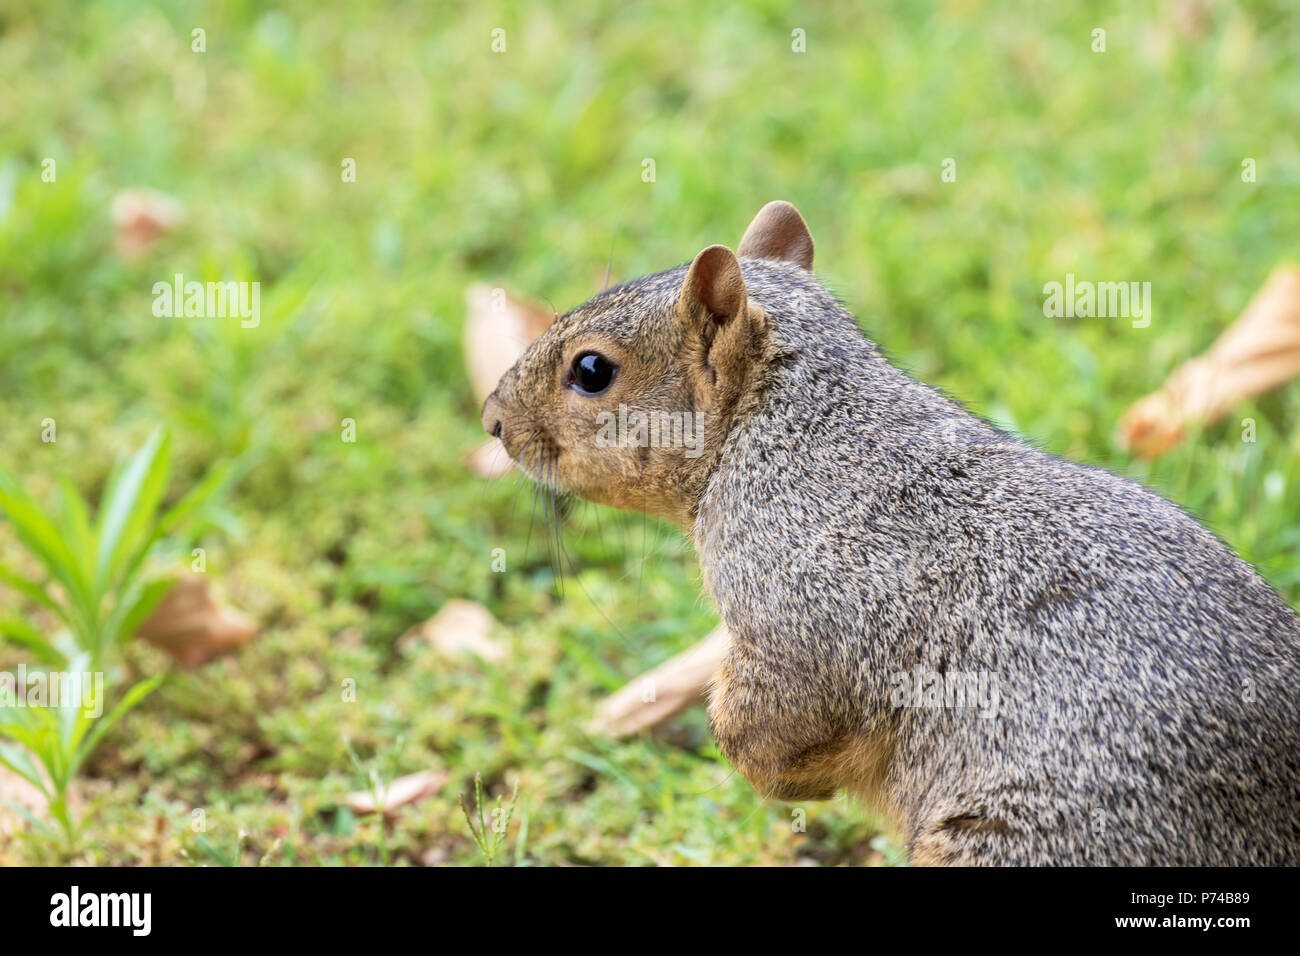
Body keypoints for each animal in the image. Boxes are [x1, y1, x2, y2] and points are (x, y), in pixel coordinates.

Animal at [483, 201, 1300, 868]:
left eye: (592, 370)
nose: (492, 420)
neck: (787, 428)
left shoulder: (803, 620)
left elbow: (766, 716)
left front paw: (782, 775)